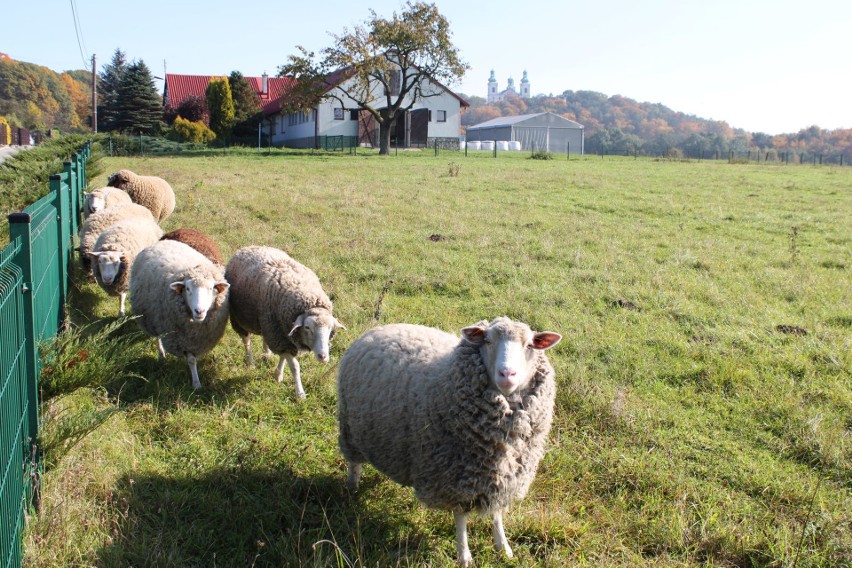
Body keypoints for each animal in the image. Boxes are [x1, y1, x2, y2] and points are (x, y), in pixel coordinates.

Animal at [129, 240, 230, 390]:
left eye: (211, 288)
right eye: (187, 289)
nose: (199, 311)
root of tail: (162, 242)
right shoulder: (182, 339)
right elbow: (191, 360)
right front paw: (196, 384)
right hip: (153, 319)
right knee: (157, 337)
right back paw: (161, 354)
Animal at [226, 245, 350, 400]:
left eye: (330, 328)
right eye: (307, 327)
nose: (323, 357)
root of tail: (249, 246)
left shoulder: (282, 333)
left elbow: (283, 357)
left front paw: (278, 375)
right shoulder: (280, 335)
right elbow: (295, 366)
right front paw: (300, 393)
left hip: (266, 321)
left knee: (264, 337)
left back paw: (267, 353)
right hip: (239, 317)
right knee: (246, 340)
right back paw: (251, 362)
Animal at [336, 318, 564, 564]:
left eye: (530, 345)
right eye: (487, 340)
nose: (507, 374)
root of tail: (379, 328)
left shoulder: (498, 475)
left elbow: (496, 513)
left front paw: (503, 547)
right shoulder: (455, 475)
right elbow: (460, 516)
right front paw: (464, 555)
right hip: (350, 428)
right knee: (354, 462)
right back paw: (352, 487)